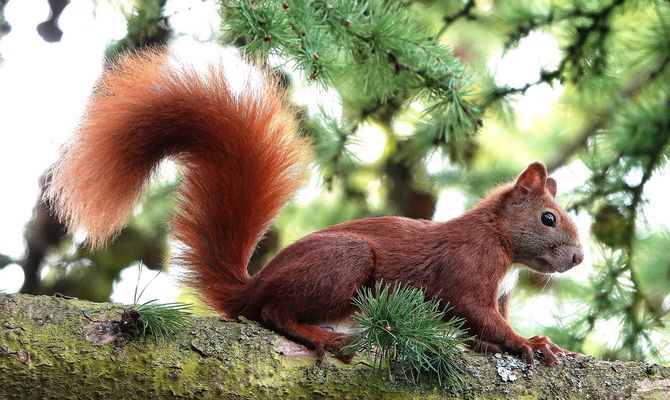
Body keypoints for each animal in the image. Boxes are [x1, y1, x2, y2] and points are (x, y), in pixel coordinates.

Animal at [47, 48, 584, 365]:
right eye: (549, 218)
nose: (579, 258)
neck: (501, 241)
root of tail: (252, 284)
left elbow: (481, 329)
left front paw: (515, 342)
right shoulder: (468, 268)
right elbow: (475, 312)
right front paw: (529, 344)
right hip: (343, 263)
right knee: (271, 312)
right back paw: (324, 338)